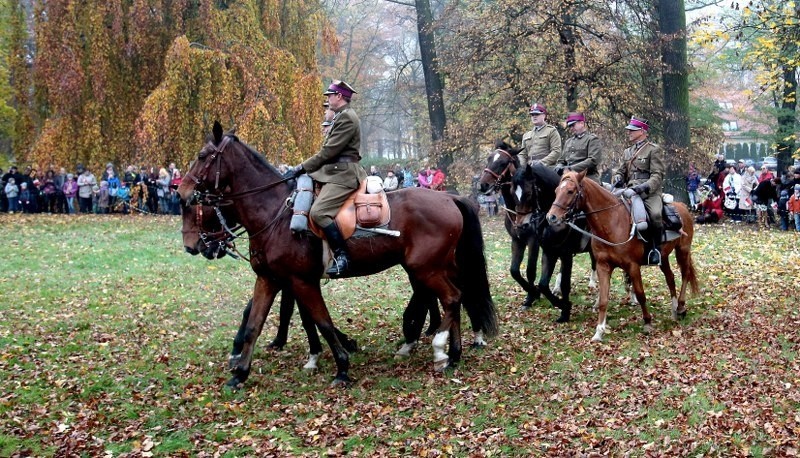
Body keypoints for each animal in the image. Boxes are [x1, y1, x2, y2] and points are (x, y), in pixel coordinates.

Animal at [178, 121, 496, 386]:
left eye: (204, 155)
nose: (182, 192)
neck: (275, 214)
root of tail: (449, 198)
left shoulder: (301, 281)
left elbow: (323, 323)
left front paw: (341, 367)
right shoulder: (269, 280)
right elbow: (254, 324)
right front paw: (240, 373)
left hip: (426, 268)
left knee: (452, 298)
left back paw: (441, 349)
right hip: (436, 267)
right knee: (454, 297)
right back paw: (453, 353)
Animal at [548, 170, 696, 342]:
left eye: (570, 191)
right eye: (556, 191)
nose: (551, 217)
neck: (611, 222)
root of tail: (682, 207)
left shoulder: (632, 266)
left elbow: (640, 294)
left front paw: (647, 322)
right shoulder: (603, 266)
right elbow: (603, 298)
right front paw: (599, 331)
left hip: (682, 250)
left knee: (685, 275)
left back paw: (681, 307)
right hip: (663, 257)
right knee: (670, 278)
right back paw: (674, 308)